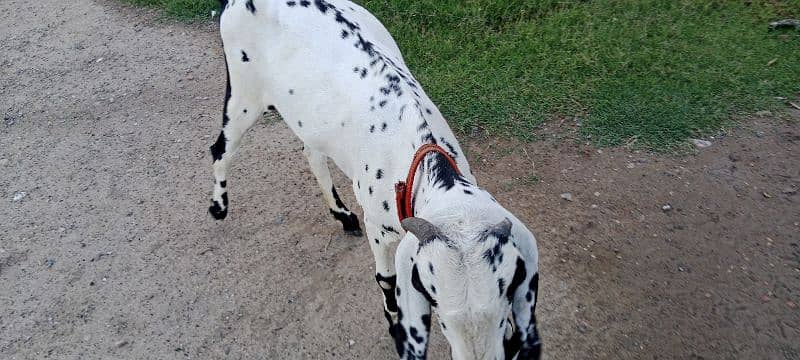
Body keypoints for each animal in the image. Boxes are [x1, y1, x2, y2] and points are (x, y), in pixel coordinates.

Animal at [208, 1, 544, 358]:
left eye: (507, 299)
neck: (419, 161)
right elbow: (387, 280)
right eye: (437, 308)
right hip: (244, 93)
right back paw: (219, 206)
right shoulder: (378, 230)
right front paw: (394, 324)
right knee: (220, 149)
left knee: (311, 153)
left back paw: (342, 215)